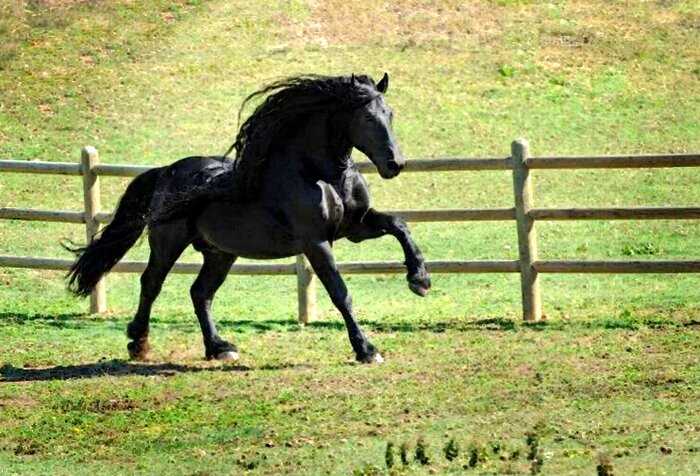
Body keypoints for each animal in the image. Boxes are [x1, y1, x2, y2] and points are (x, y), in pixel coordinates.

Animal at [65, 73, 430, 364]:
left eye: (390, 114)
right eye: (367, 118)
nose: (395, 164)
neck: (319, 174)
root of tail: (165, 171)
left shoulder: (354, 227)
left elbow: (399, 225)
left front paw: (419, 280)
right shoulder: (316, 242)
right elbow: (340, 292)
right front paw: (366, 349)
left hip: (220, 253)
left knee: (200, 293)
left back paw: (219, 348)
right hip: (169, 243)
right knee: (152, 284)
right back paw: (138, 343)